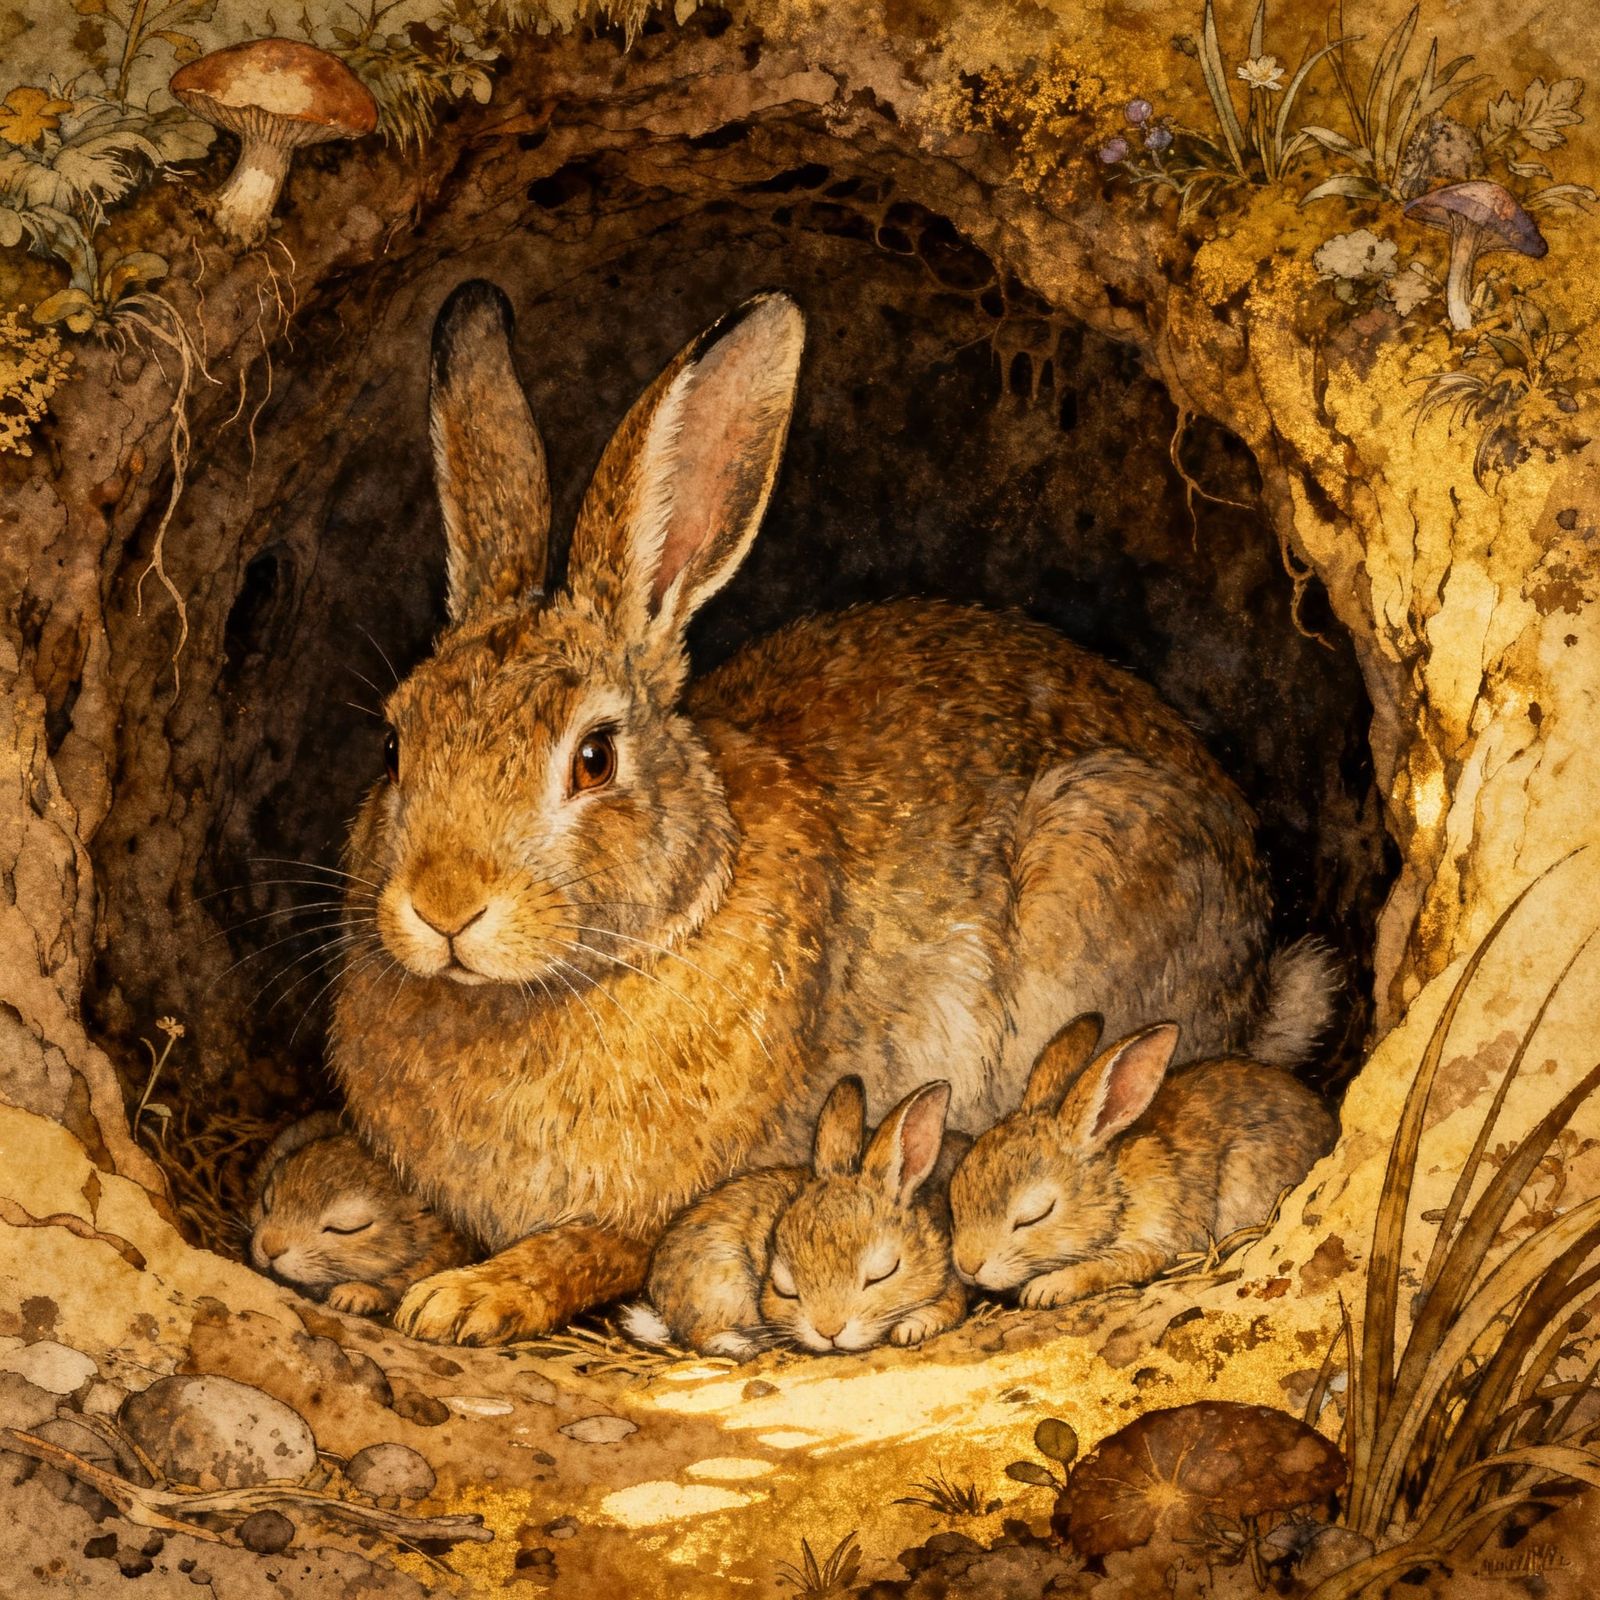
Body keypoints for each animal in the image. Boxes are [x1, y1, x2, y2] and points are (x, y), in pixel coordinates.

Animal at [622, 1077, 967, 1357]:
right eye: (784, 1288)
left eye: (884, 1272)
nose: (829, 1331)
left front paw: (910, 1328)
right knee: (697, 1333)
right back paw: (741, 1345)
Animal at [949, 1014, 1337, 1307]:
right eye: (955, 1198)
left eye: (1035, 1215)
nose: (968, 1265)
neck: (1118, 1190)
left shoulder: (1160, 1239)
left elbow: (1108, 1266)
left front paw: (1047, 1288)